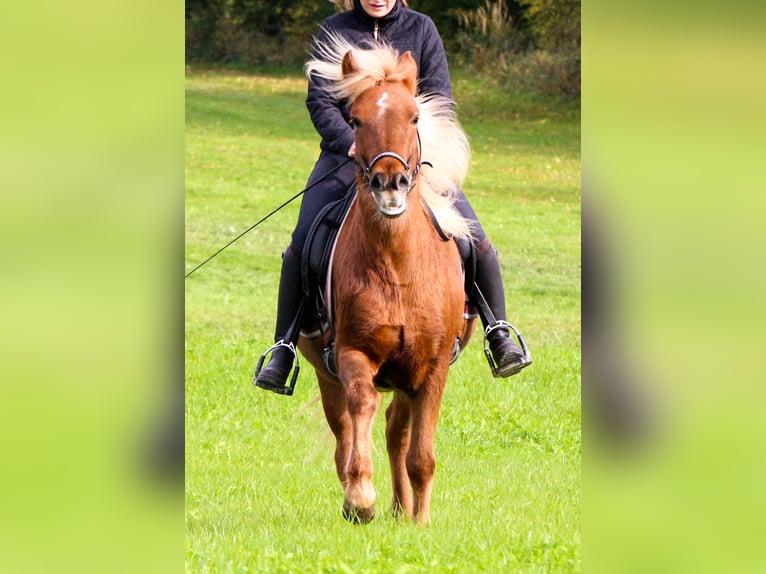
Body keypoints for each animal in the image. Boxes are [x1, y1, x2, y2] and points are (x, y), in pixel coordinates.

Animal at [297, 35, 476, 526]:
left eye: (414, 116)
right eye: (355, 120)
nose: (390, 183)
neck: (398, 269)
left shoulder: (432, 367)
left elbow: (422, 455)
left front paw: (421, 521)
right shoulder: (353, 354)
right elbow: (361, 410)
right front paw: (360, 496)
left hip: (407, 376)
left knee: (399, 433)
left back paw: (403, 509)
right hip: (328, 374)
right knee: (345, 431)